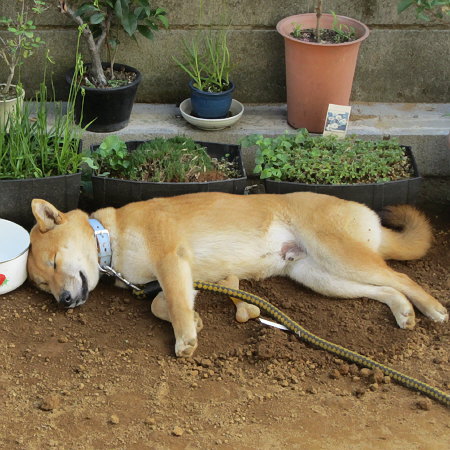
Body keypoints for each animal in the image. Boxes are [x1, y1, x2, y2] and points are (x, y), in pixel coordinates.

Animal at [27, 192, 446, 356]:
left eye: (53, 264)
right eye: (44, 286)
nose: (63, 301)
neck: (111, 236)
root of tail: (369, 215)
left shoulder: (172, 260)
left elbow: (173, 303)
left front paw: (185, 337)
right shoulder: (173, 275)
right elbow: (165, 305)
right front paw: (195, 320)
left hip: (340, 257)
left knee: (402, 279)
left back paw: (433, 308)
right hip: (322, 277)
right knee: (385, 289)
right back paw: (404, 311)